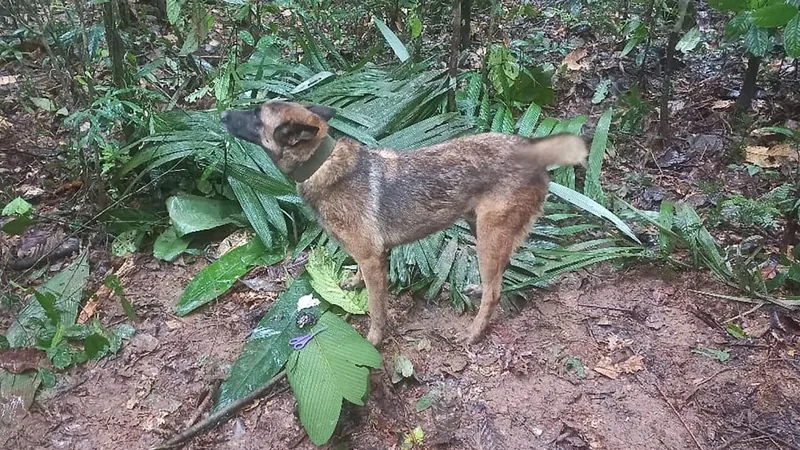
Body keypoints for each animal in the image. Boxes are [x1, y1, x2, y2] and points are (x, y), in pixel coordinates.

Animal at [219, 100, 588, 346]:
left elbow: (375, 307)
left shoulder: (373, 258)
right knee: (497, 275)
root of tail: (532, 149)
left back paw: (474, 332)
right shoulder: (367, 257)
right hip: (480, 229)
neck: (322, 163)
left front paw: (374, 339)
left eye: (255, 115)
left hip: (489, 234)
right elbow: (359, 277)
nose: (221, 114)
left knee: (496, 291)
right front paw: (353, 283)